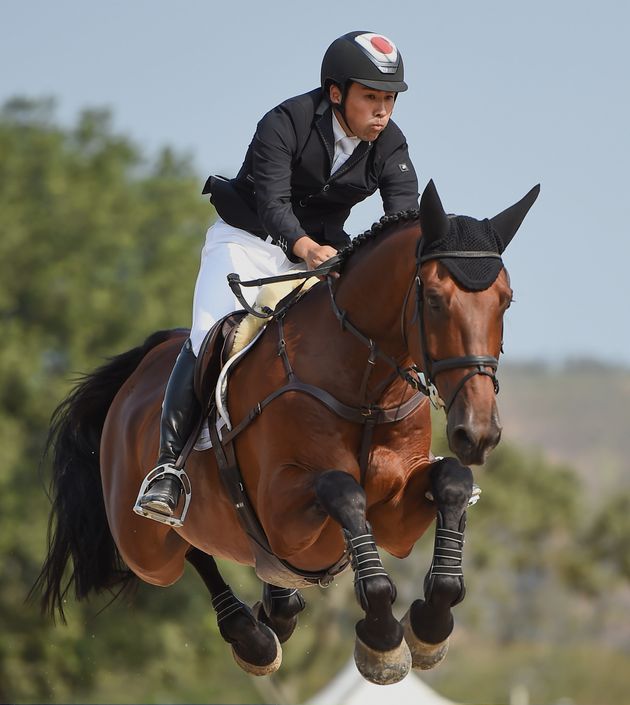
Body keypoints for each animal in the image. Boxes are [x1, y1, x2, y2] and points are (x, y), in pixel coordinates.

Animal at [34, 179, 540, 684]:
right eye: (434, 299)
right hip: (146, 551)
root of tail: (142, 365)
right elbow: (343, 491)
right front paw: (382, 641)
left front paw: (430, 627)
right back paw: (248, 632)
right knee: (187, 546)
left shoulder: (396, 519)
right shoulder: (282, 514)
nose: (478, 432)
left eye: (505, 301)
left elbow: (452, 480)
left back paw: (274, 612)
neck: (364, 385)